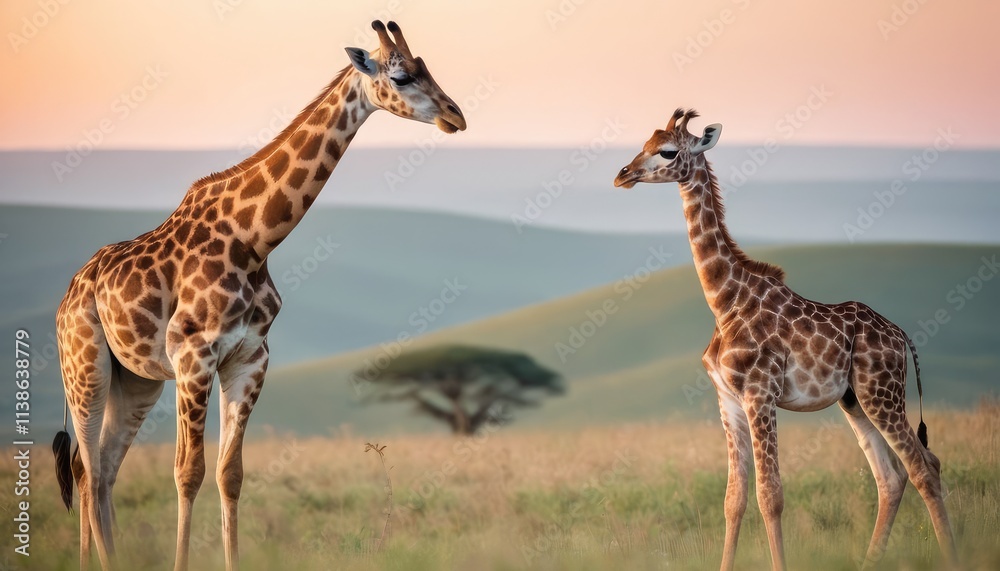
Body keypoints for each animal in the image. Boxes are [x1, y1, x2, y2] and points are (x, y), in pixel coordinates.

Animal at [52, 20, 465, 571]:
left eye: (426, 67)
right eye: (400, 76)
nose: (455, 116)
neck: (254, 239)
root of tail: (68, 296)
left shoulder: (250, 358)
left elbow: (230, 473)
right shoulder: (194, 356)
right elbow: (188, 472)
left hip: (137, 381)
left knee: (103, 467)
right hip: (86, 367)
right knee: (87, 469)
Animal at [613, 108, 957, 570]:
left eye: (667, 151)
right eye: (644, 144)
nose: (622, 175)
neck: (724, 302)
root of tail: (900, 334)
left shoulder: (760, 394)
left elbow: (770, 496)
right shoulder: (728, 400)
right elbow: (734, 500)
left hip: (881, 392)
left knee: (924, 467)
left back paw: (952, 556)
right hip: (854, 400)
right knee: (891, 476)